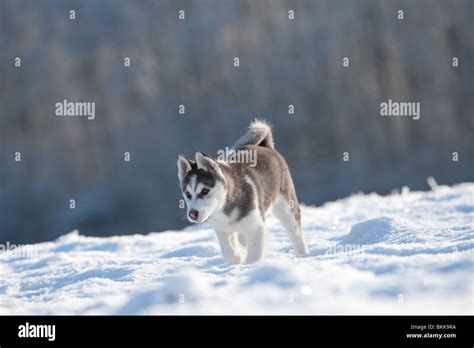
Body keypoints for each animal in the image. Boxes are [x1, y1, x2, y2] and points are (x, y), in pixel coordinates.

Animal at [176, 119, 310, 264]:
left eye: (205, 191)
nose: (192, 214)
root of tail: (265, 146)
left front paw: (250, 264)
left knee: (295, 230)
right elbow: (228, 251)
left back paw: (302, 254)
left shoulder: (256, 225)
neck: (224, 206)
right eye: (188, 194)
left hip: (286, 204)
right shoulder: (221, 228)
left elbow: (254, 253)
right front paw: (238, 256)